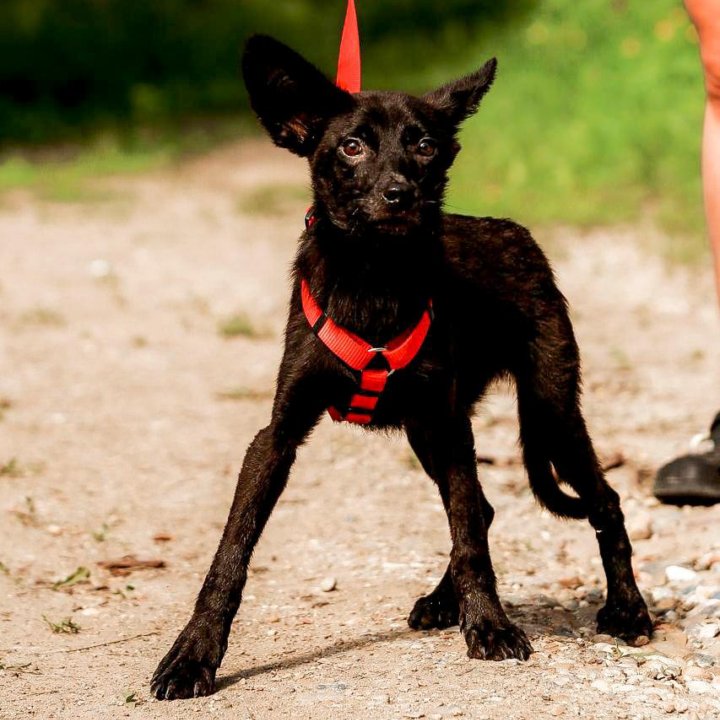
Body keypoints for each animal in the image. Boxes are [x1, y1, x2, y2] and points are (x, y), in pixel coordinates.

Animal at [150, 36, 652, 700]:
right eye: (351, 146)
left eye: (424, 144)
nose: (399, 194)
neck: (374, 277)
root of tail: (517, 234)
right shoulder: (277, 436)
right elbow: (231, 553)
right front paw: (194, 654)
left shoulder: (452, 426)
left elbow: (471, 541)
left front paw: (489, 626)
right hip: (427, 433)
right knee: (487, 508)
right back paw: (445, 602)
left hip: (547, 408)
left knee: (601, 502)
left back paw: (629, 610)